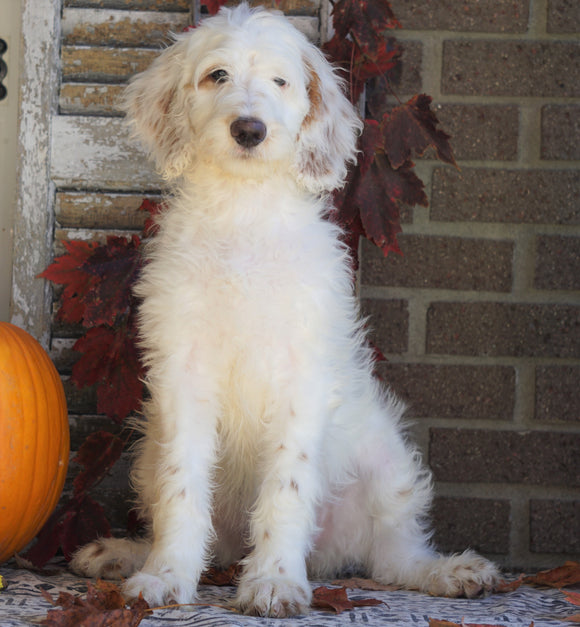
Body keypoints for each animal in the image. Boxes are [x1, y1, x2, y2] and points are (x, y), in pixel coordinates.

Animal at [71, 3, 498, 620]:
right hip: (148, 451)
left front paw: (273, 582)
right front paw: (165, 577)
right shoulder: (183, 373)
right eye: (217, 75)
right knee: (207, 533)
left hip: (385, 460)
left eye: (280, 82)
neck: (243, 212)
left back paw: (449, 572)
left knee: (392, 555)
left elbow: (286, 490)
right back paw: (122, 554)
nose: (249, 129)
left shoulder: (301, 375)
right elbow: (182, 489)